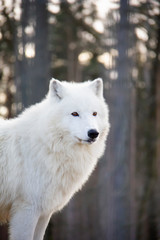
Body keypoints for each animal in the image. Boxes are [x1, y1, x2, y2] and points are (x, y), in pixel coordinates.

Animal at [0, 78, 110, 239]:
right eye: (75, 113)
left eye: (94, 113)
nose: (93, 133)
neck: (46, 144)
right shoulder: (27, 209)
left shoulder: (44, 213)